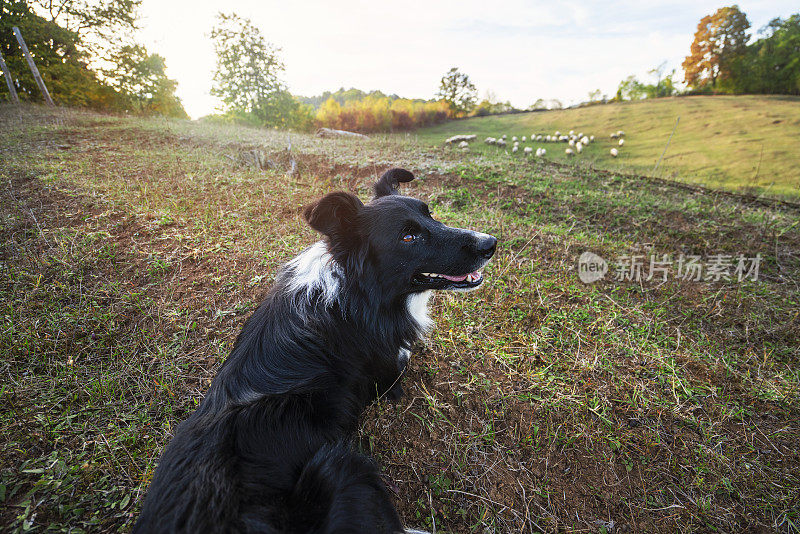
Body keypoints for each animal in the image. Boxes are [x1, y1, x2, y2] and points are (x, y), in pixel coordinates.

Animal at [134, 170, 496, 532]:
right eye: (408, 237)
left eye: (430, 215)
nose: (490, 243)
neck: (353, 292)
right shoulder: (385, 374)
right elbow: (400, 365)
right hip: (341, 468)